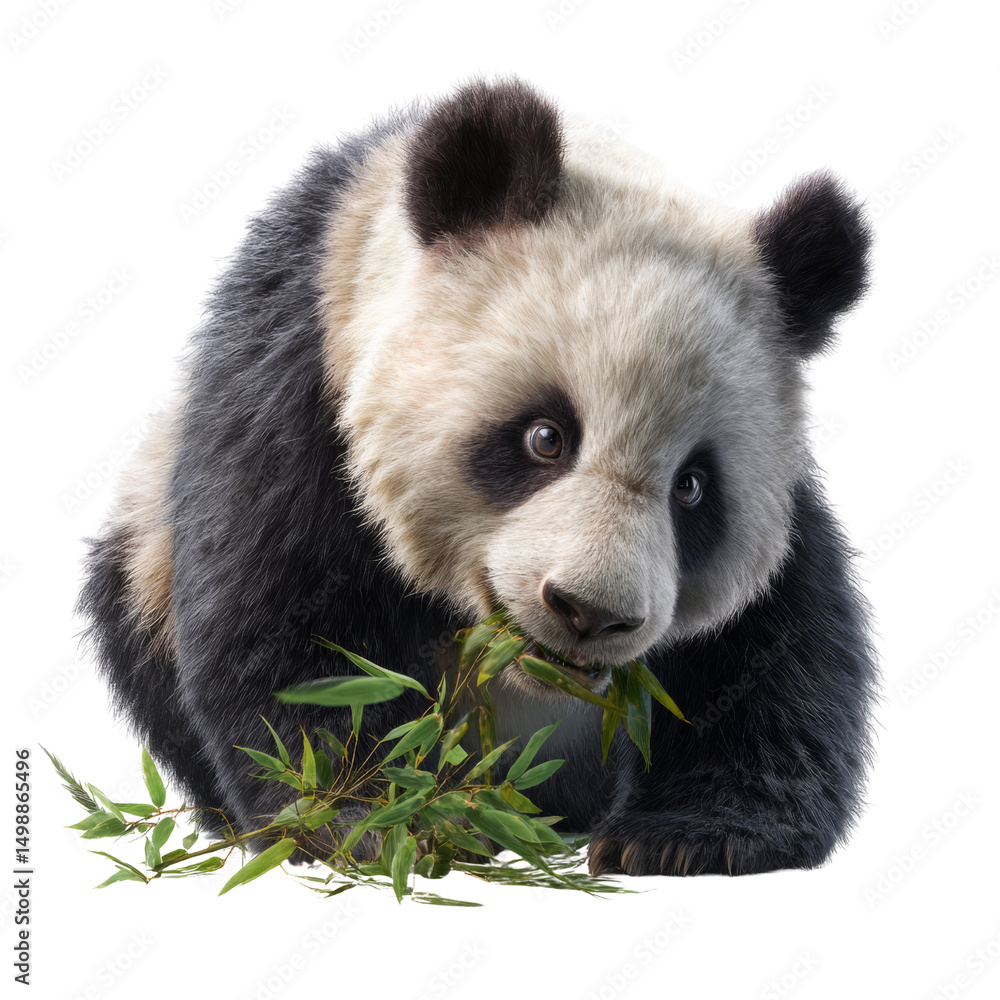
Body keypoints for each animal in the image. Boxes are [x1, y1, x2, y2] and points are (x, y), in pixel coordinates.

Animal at [80, 78, 877, 878]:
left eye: (693, 487)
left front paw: (685, 836)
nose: (590, 613)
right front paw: (374, 816)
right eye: (545, 438)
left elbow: (774, 647)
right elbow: (292, 624)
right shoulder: (296, 381)